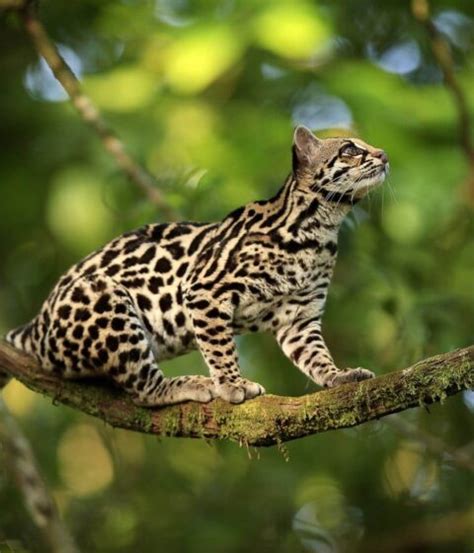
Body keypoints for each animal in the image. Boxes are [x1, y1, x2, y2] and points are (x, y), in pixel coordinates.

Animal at [3, 127, 388, 408]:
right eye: (350, 150)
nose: (383, 155)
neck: (319, 229)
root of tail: (36, 326)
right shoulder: (205, 291)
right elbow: (220, 348)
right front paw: (232, 383)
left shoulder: (300, 318)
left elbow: (317, 356)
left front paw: (338, 376)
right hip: (106, 298)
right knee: (142, 389)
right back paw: (187, 385)